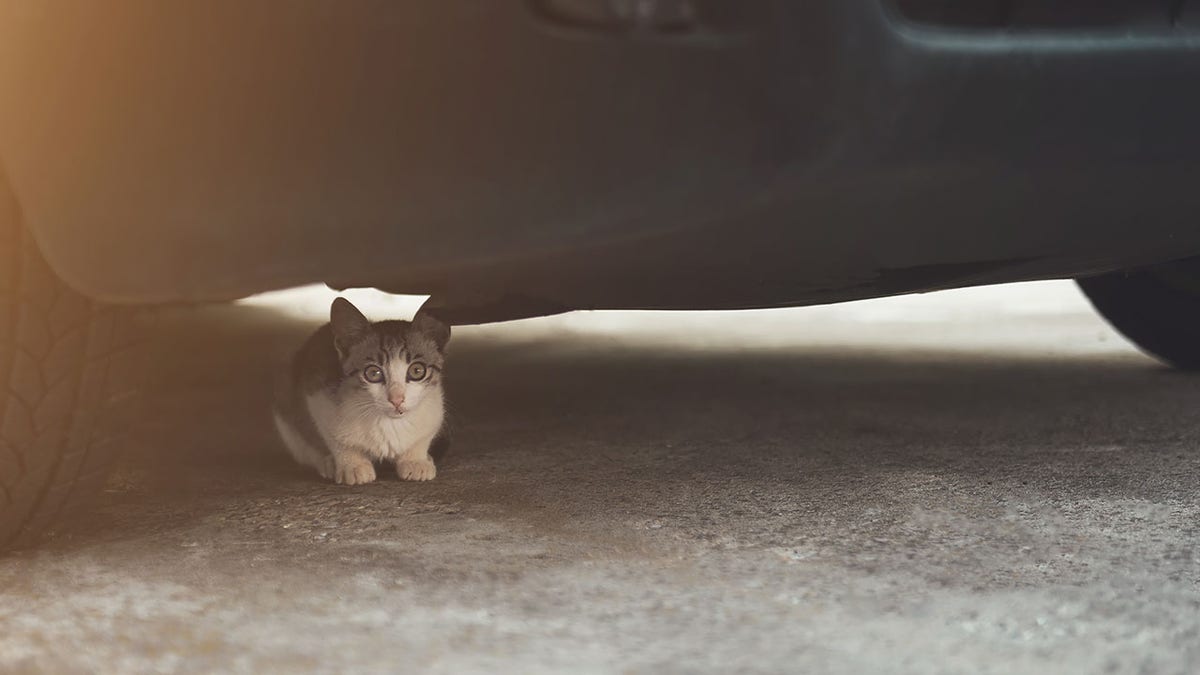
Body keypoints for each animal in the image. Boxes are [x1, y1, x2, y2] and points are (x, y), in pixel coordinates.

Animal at [272, 296, 451, 480]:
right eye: (373, 373)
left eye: (417, 371)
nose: (396, 399)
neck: (390, 423)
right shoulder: (318, 393)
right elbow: (335, 437)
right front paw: (352, 464)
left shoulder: (435, 409)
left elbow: (423, 437)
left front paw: (415, 460)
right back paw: (326, 462)